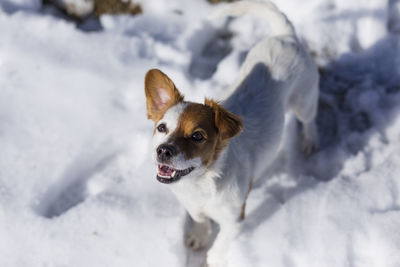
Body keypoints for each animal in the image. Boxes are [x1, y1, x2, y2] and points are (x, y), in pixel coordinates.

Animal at [144, 1, 318, 266]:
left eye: (197, 136)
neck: (201, 184)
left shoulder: (235, 218)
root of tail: (285, 35)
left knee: (309, 120)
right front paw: (199, 235)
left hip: (304, 101)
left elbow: (220, 246)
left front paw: (212, 258)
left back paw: (309, 141)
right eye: (161, 128)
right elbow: (201, 221)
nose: (163, 150)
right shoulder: (193, 207)